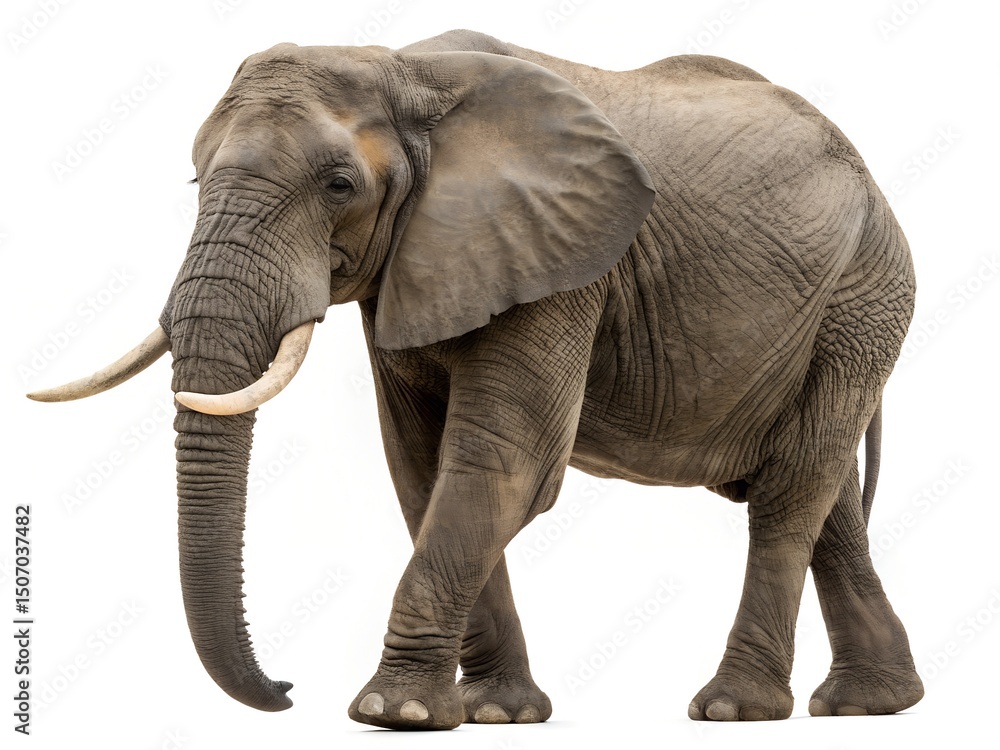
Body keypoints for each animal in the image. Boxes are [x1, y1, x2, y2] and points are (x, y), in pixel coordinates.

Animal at [29, 29, 924, 728]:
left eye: (339, 186)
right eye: (194, 179)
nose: (283, 688)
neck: (402, 68)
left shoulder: (565, 260)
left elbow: (502, 461)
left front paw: (393, 712)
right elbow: (422, 469)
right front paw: (495, 713)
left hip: (864, 295)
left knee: (790, 492)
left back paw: (737, 708)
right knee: (821, 494)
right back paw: (870, 704)